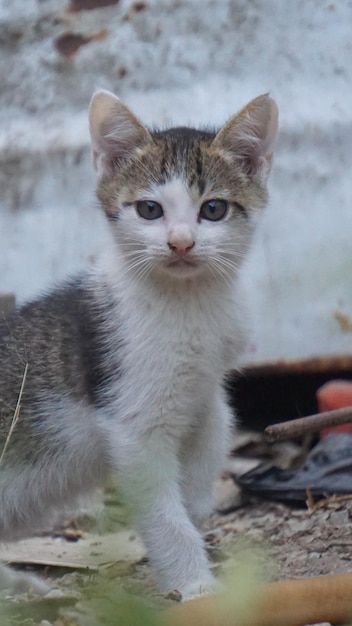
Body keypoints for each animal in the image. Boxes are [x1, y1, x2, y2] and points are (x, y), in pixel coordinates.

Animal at [0, 91, 278, 596]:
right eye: (150, 210)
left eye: (213, 209)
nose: (181, 243)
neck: (189, 305)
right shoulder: (132, 425)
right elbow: (162, 514)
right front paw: (196, 586)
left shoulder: (207, 384)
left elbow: (217, 428)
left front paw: (197, 501)